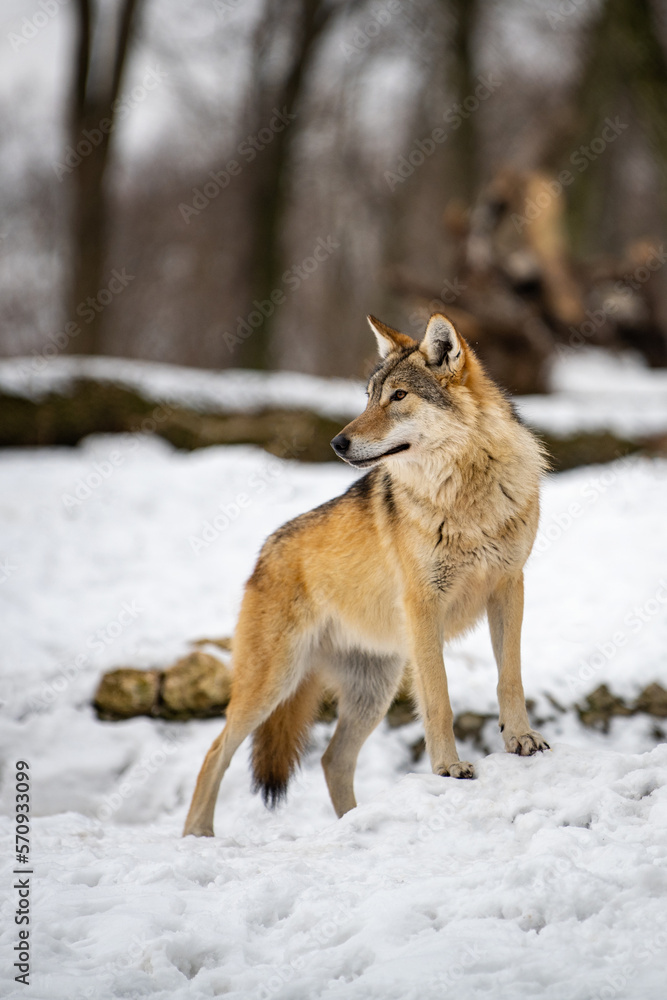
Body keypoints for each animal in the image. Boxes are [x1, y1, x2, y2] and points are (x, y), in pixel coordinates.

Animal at [183, 313, 550, 837]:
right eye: (369, 396)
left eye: (398, 396)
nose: (337, 443)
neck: (465, 497)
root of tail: (263, 553)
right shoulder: (424, 606)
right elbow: (439, 700)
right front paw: (448, 769)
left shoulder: (509, 587)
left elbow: (511, 678)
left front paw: (520, 739)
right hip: (273, 684)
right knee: (216, 752)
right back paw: (198, 835)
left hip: (370, 693)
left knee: (332, 760)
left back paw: (354, 825)